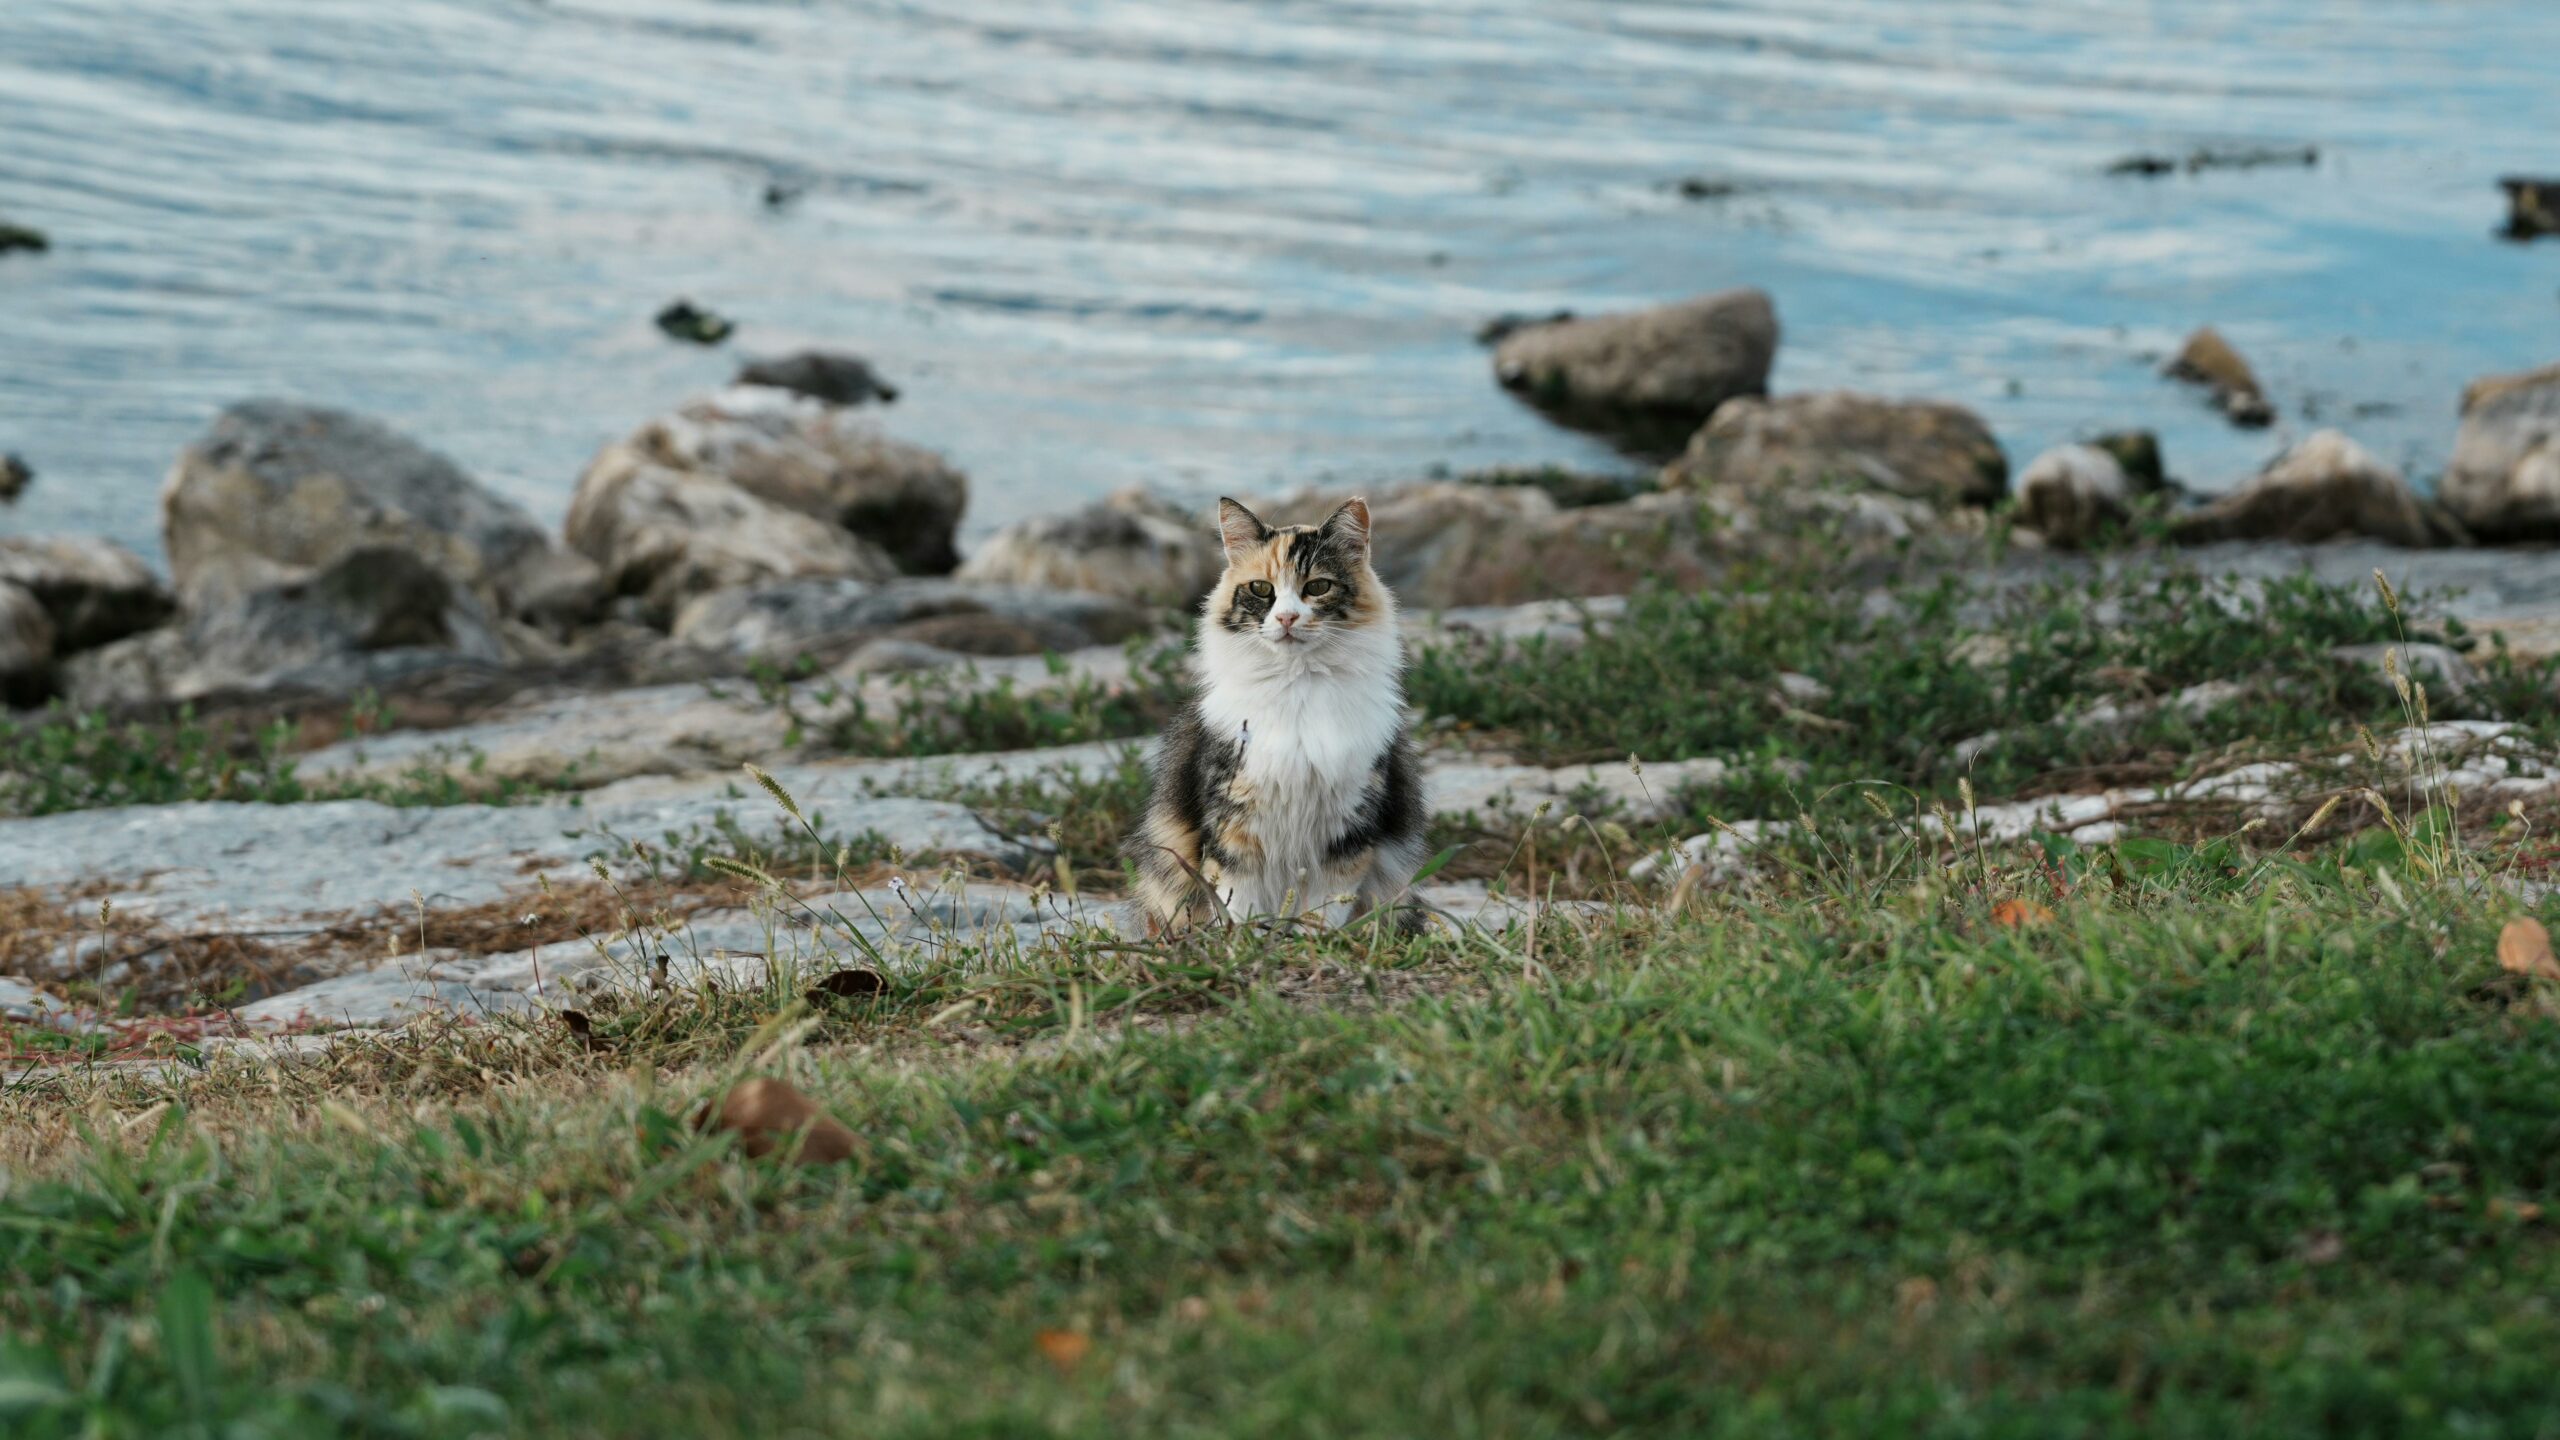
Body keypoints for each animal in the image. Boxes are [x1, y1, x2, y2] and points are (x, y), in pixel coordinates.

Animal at [1131, 489, 1433, 917]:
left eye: (1318, 587)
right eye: (1261, 588)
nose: (1288, 618)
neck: (1298, 685)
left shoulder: (1347, 835)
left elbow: (1322, 915)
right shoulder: (1232, 832)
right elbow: (1239, 911)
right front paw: (1249, 937)